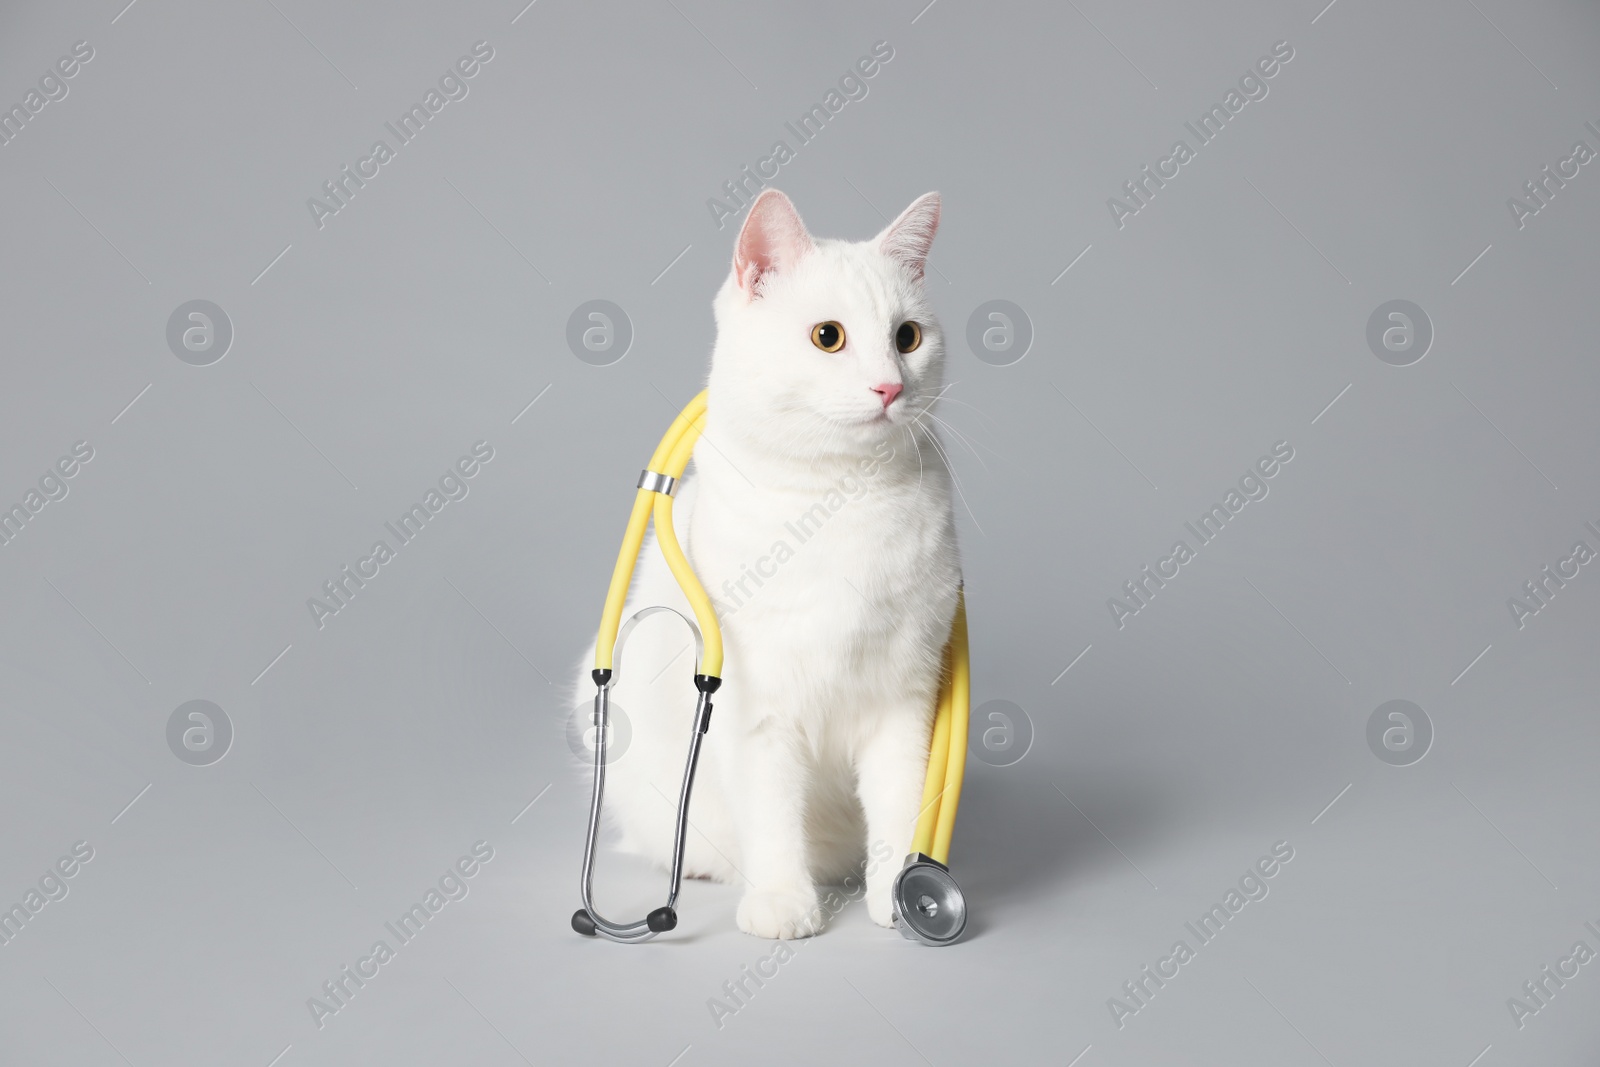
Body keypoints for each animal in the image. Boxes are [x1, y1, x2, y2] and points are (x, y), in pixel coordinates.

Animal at [572, 187, 953, 940]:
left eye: (908, 338)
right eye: (828, 336)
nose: (889, 387)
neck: (840, 501)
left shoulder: (906, 704)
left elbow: (900, 807)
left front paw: (900, 898)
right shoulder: (757, 715)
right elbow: (774, 820)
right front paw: (781, 901)